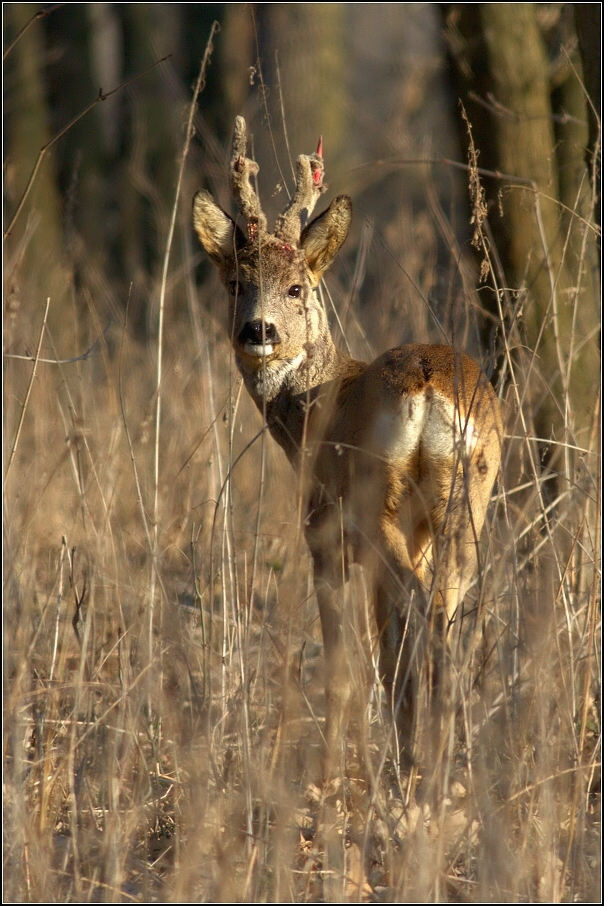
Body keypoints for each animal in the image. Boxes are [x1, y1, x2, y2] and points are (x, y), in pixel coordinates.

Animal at [195, 116, 504, 772]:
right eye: (235, 283)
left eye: (294, 287)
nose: (257, 330)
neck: (313, 411)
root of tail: (428, 387)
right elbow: (389, 663)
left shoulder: (325, 541)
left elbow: (343, 671)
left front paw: (332, 778)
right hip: (467, 503)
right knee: (438, 626)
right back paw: (439, 762)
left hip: (371, 503)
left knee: (423, 618)